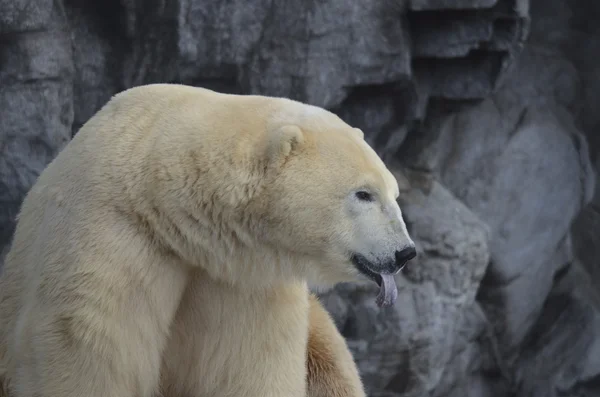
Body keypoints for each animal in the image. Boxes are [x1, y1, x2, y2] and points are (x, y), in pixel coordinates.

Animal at [0, 84, 414, 396]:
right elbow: (91, 350)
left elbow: (246, 364)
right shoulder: (113, 235)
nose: (405, 252)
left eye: (394, 193)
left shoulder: (242, 279)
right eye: (364, 194)